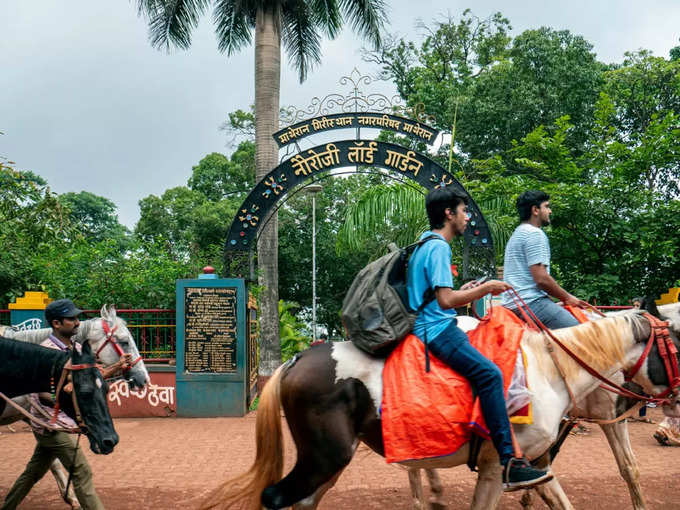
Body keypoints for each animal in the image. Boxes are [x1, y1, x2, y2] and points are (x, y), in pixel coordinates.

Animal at [202, 310, 680, 510]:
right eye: (676, 342)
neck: (549, 369)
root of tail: (298, 358)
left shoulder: (535, 464)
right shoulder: (497, 468)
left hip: (329, 462)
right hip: (325, 458)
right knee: (276, 497)